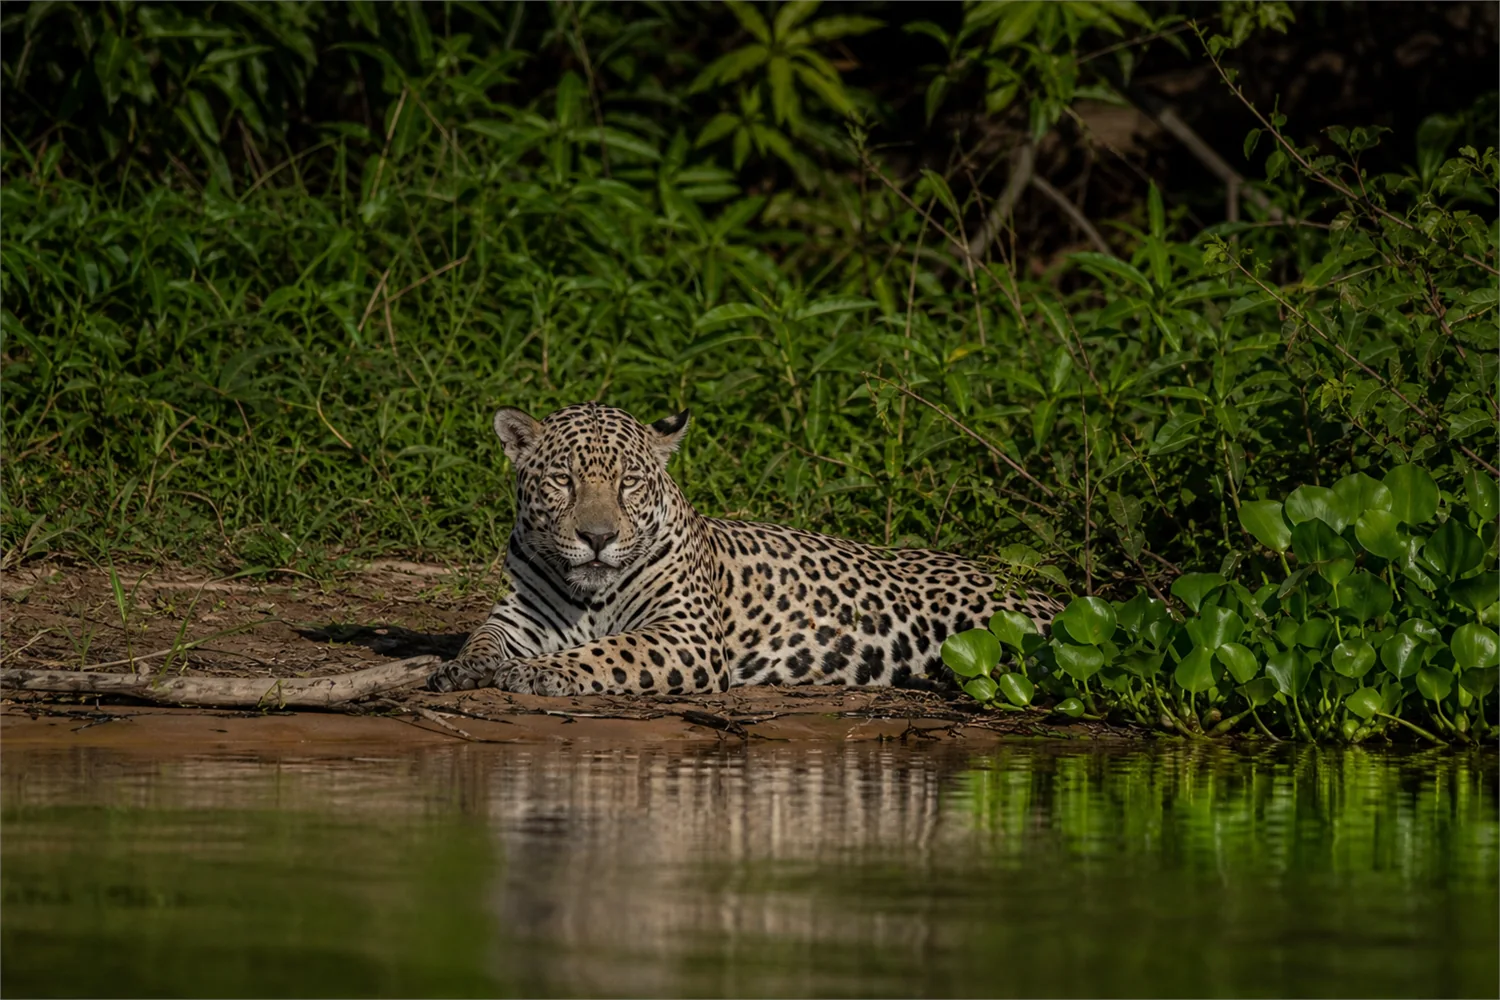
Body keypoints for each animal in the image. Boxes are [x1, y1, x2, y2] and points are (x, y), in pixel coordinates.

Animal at [426, 402, 1062, 697]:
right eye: (563, 481)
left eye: (629, 483)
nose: (598, 538)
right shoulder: (519, 615)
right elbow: (482, 637)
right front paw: (462, 668)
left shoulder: (686, 634)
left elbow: (607, 652)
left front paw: (537, 672)